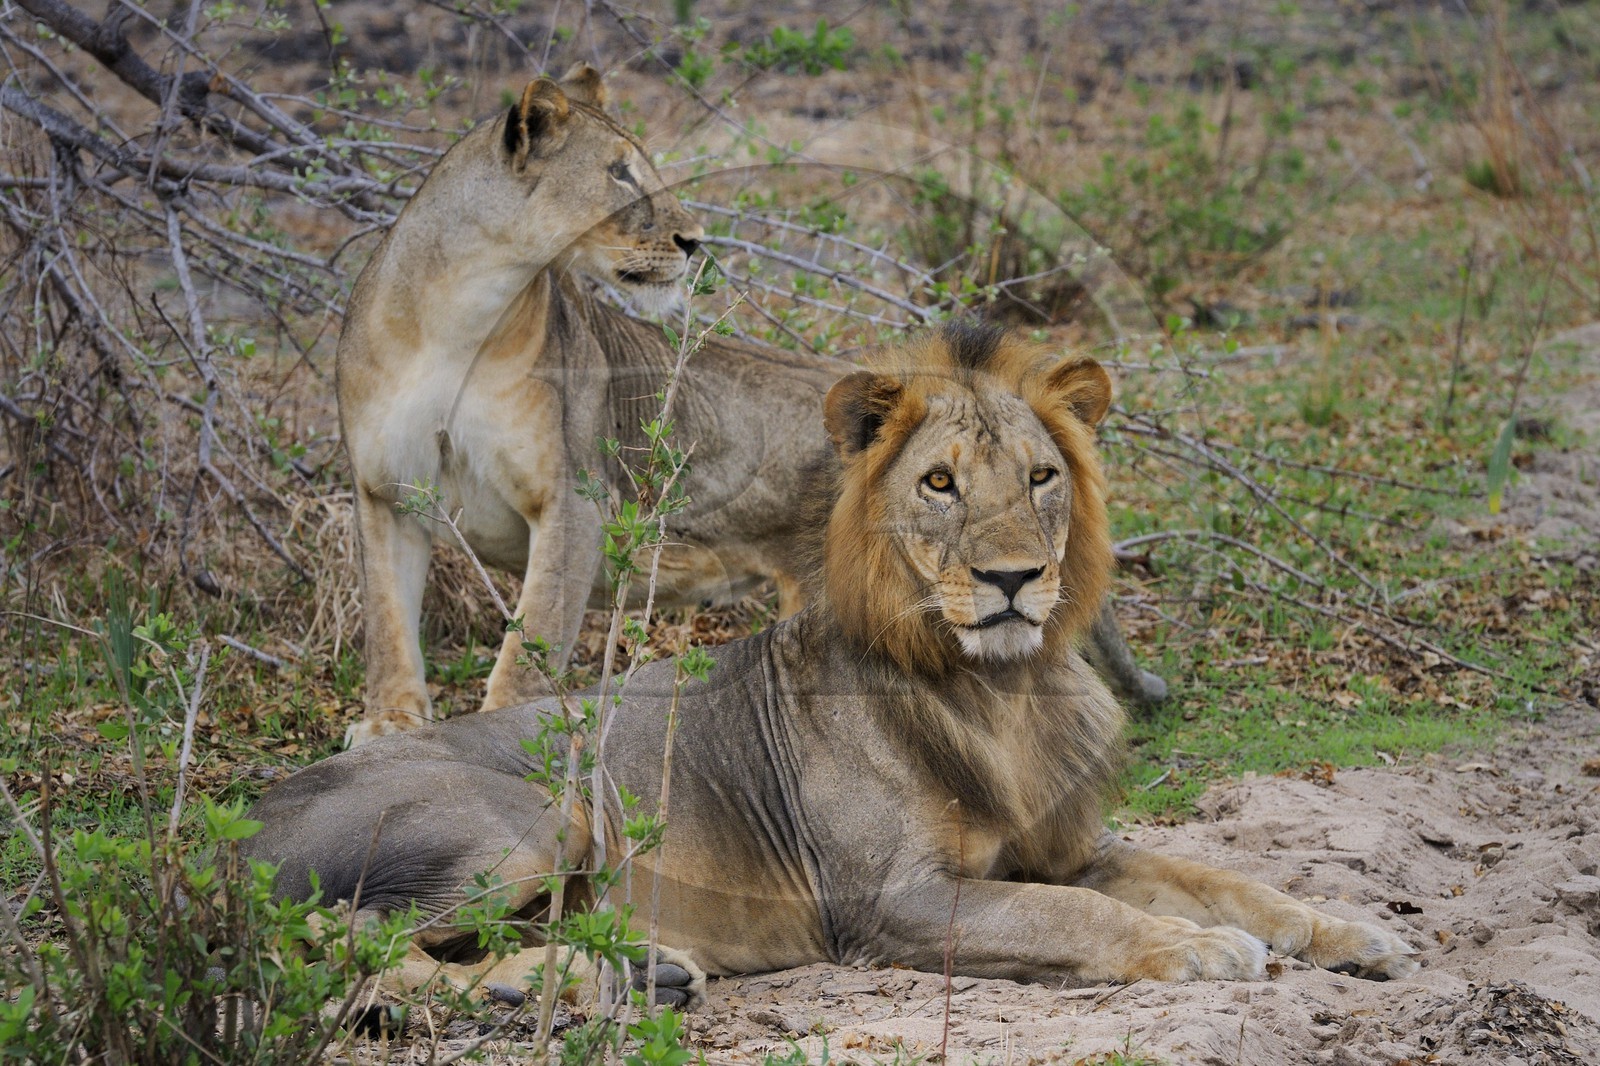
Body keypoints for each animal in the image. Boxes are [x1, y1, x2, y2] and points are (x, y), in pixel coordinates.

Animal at [249, 322, 1417, 1014]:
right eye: (941, 483)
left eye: (1042, 476)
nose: (1012, 578)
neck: (1000, 689)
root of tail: (232, 818)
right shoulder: (892, 900)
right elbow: (1082, 919)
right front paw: (1200, 950)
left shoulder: (1060, 848)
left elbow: (1225, 878)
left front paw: (1348, 930)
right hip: (536, 816)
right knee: (328, 938)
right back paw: (564, 978)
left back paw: (639, 968)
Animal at [337, 66, 1165, 747]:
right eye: (618, 174)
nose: (693, 239)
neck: (459, 313)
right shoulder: (384, 493)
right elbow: (386, 624)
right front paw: (388, 727)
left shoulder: (573, 502)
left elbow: (527, 646)